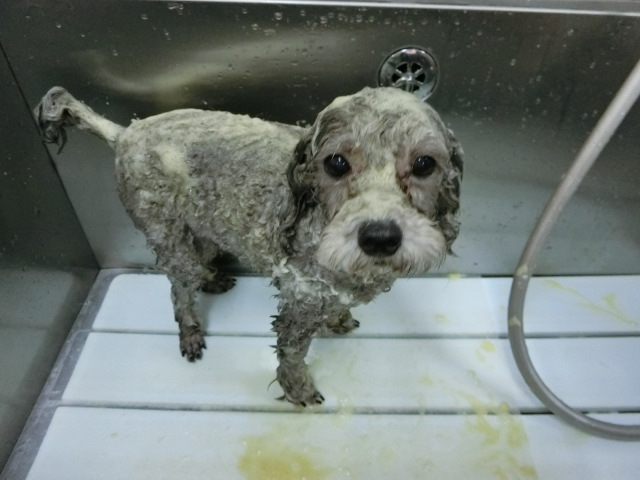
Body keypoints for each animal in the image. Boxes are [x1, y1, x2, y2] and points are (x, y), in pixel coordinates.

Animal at [35, 86, 463, 406]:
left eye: (424, 164)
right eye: (337, 163)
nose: (379, 236)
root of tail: (125, 133)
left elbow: (336, 306)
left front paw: (338, 319)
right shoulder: (297, 306)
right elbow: (291, 355)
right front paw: (298, 389)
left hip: (205, 227)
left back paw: (212, 278)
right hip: (166, 232)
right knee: (178, 287)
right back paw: (190, 331)